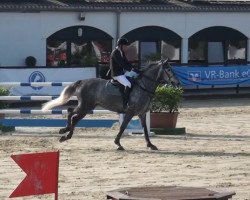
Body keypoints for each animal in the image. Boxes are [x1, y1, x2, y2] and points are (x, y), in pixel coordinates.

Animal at [42, 60, 180, 151]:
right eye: (168, 70)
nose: (177, 83)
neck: (143, 86)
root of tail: (82, 82)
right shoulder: (130, 113)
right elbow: (123, 127)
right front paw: (118, 143)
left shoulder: (141, 114)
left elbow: (145, 130)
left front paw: (150, 145)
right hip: (85, 106)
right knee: (71, 112)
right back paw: (64, 131)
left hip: (88, 108)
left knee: (74, 117)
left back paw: (66, 135)